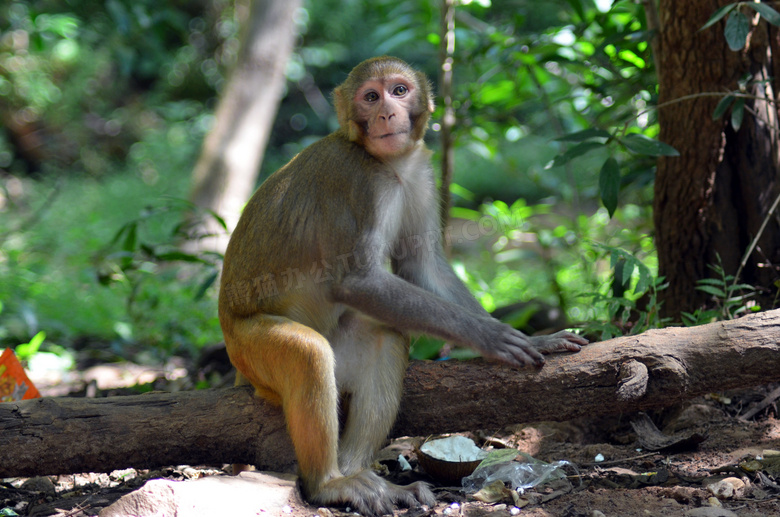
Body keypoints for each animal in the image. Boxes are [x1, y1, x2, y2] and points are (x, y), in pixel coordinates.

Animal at [218, 56, 584, 516]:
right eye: (370, 97)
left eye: (398, 91)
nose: (386, 114)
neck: (388, 165)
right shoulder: (360, 183)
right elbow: (358, 281)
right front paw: (491, 335)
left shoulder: (420, 172)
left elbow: (420, 264)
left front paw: (537, 337)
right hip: (249, 352)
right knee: (307, 353)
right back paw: (330, 484)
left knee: (385, 335)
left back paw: (362, 473)